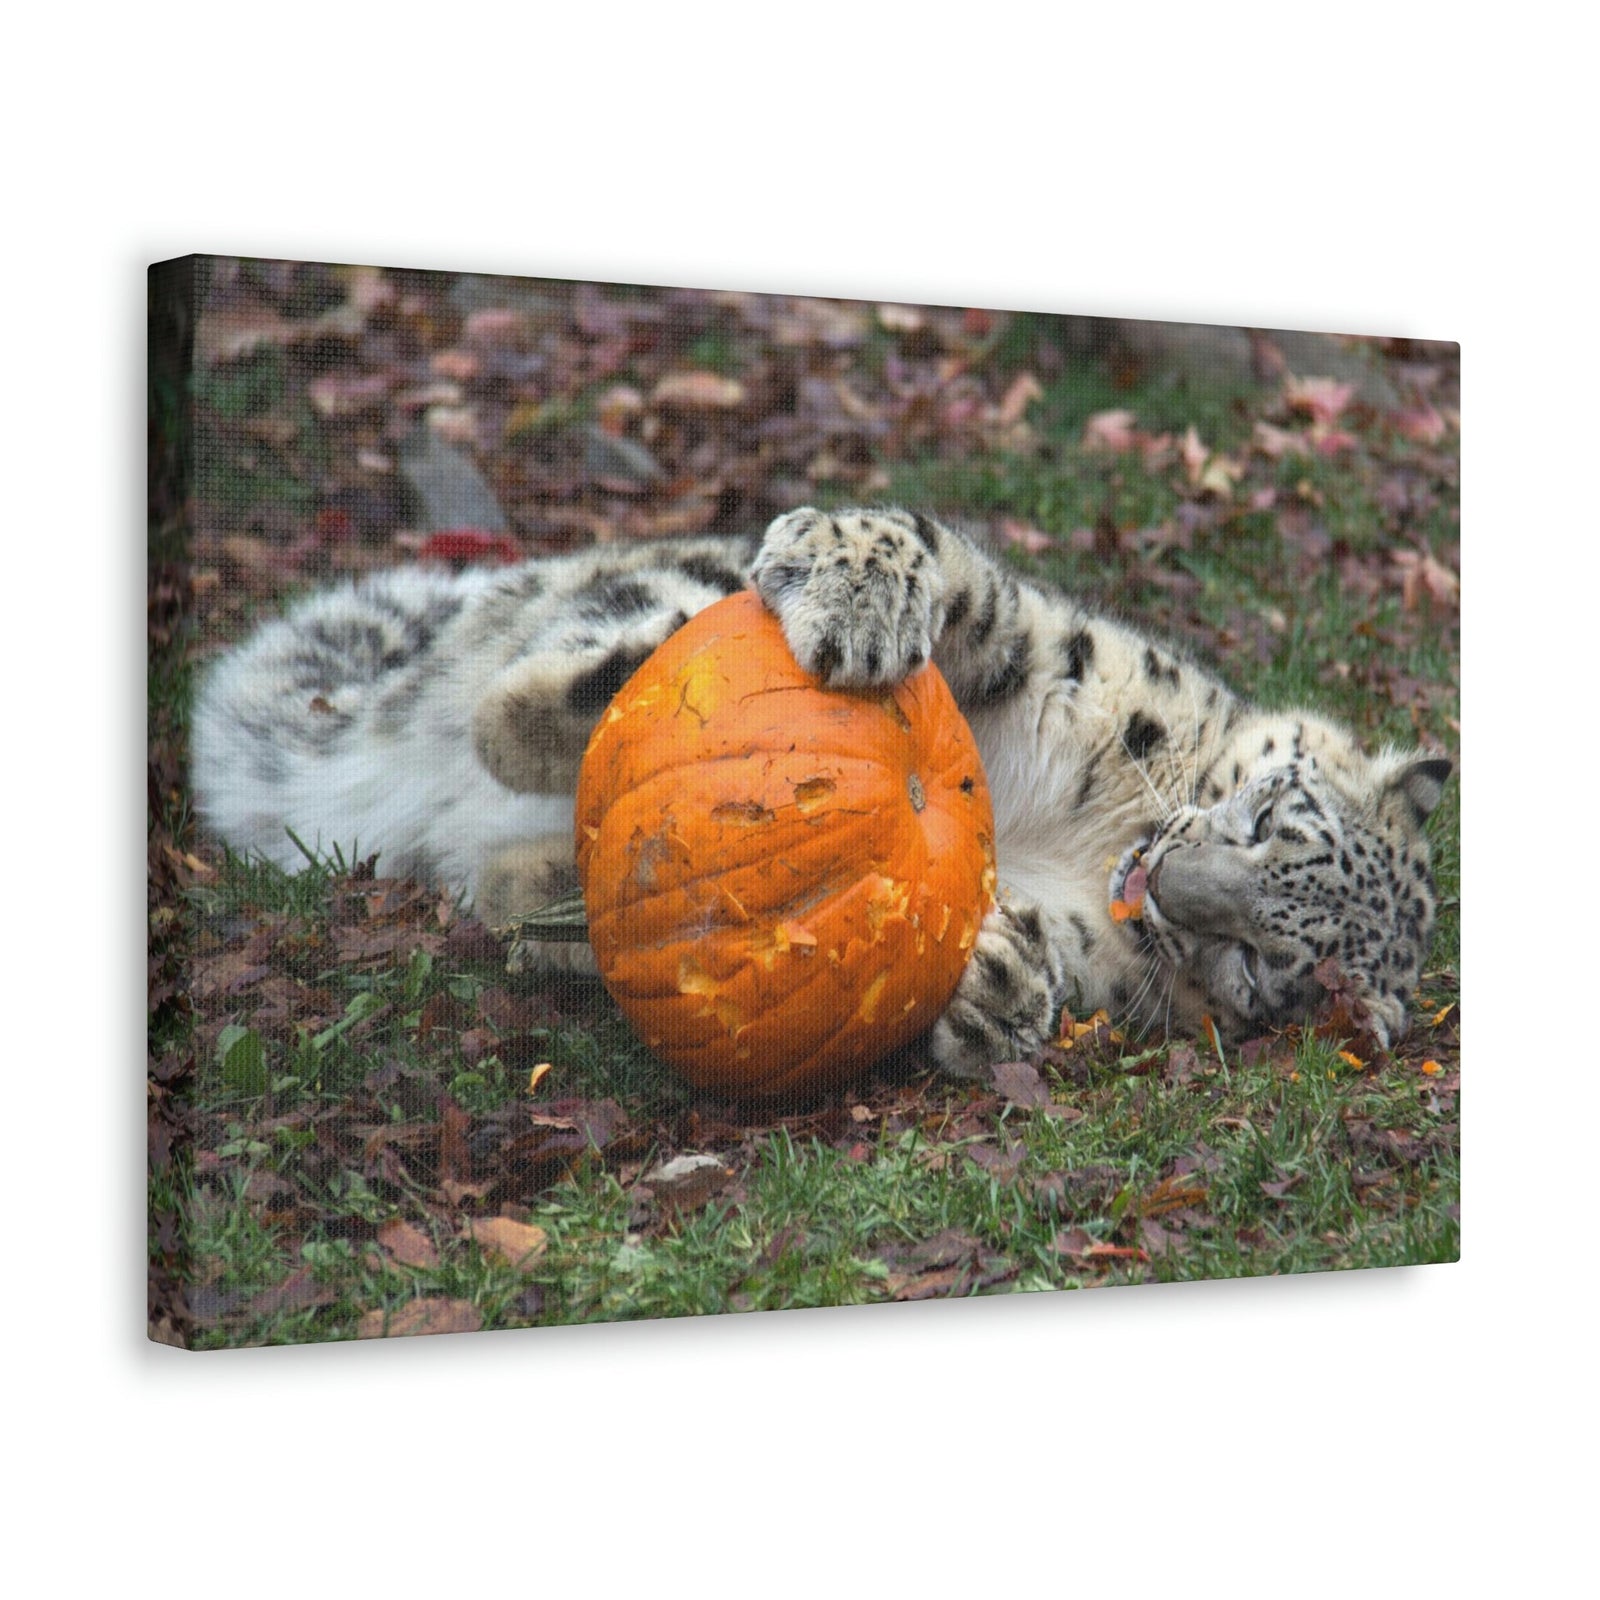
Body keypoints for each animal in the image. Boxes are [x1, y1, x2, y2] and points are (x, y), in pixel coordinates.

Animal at [192, 506, 1451, 1078]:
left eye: (1261, 962)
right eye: (1267, 813)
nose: (1166, 883)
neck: (1098, 829)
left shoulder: (1106, 952)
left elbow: (1041, 952)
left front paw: (996, 987)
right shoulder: (1067, 656)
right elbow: (959, 579)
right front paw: (860, 591)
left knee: (510, 881)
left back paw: (571, 905)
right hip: (632, 592)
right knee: (536, 684)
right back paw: (624, 676)